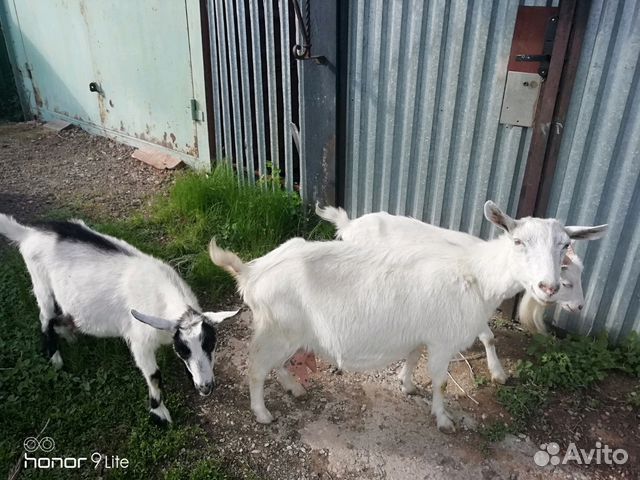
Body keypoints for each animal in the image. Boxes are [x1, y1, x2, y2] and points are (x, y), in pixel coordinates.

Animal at [0, 214, 238, 424]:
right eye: (184, 349)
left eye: (210, 344)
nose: (206, 387)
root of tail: (28, 234)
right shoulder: (140, 342)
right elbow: (154, 375)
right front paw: (159, 413)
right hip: (42, 286)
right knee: (45, 317)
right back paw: (55, 357)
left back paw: (69, 334)